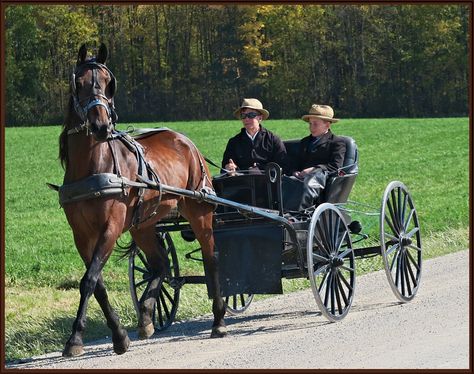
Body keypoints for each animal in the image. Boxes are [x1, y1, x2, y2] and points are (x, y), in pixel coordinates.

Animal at [57, 43, 226, 356]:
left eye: (108, 84)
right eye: (80, 83)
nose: (100, 126)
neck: (93, 166)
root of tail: (187, 143)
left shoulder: (110, 228)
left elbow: (89, 280)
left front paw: (76, 339)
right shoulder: (81, 235)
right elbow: (97, 283)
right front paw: (117, 335)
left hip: (199, 210)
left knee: (211, 259)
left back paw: (219, 320)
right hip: (143, 225)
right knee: (160, 264)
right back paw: (147, 316)